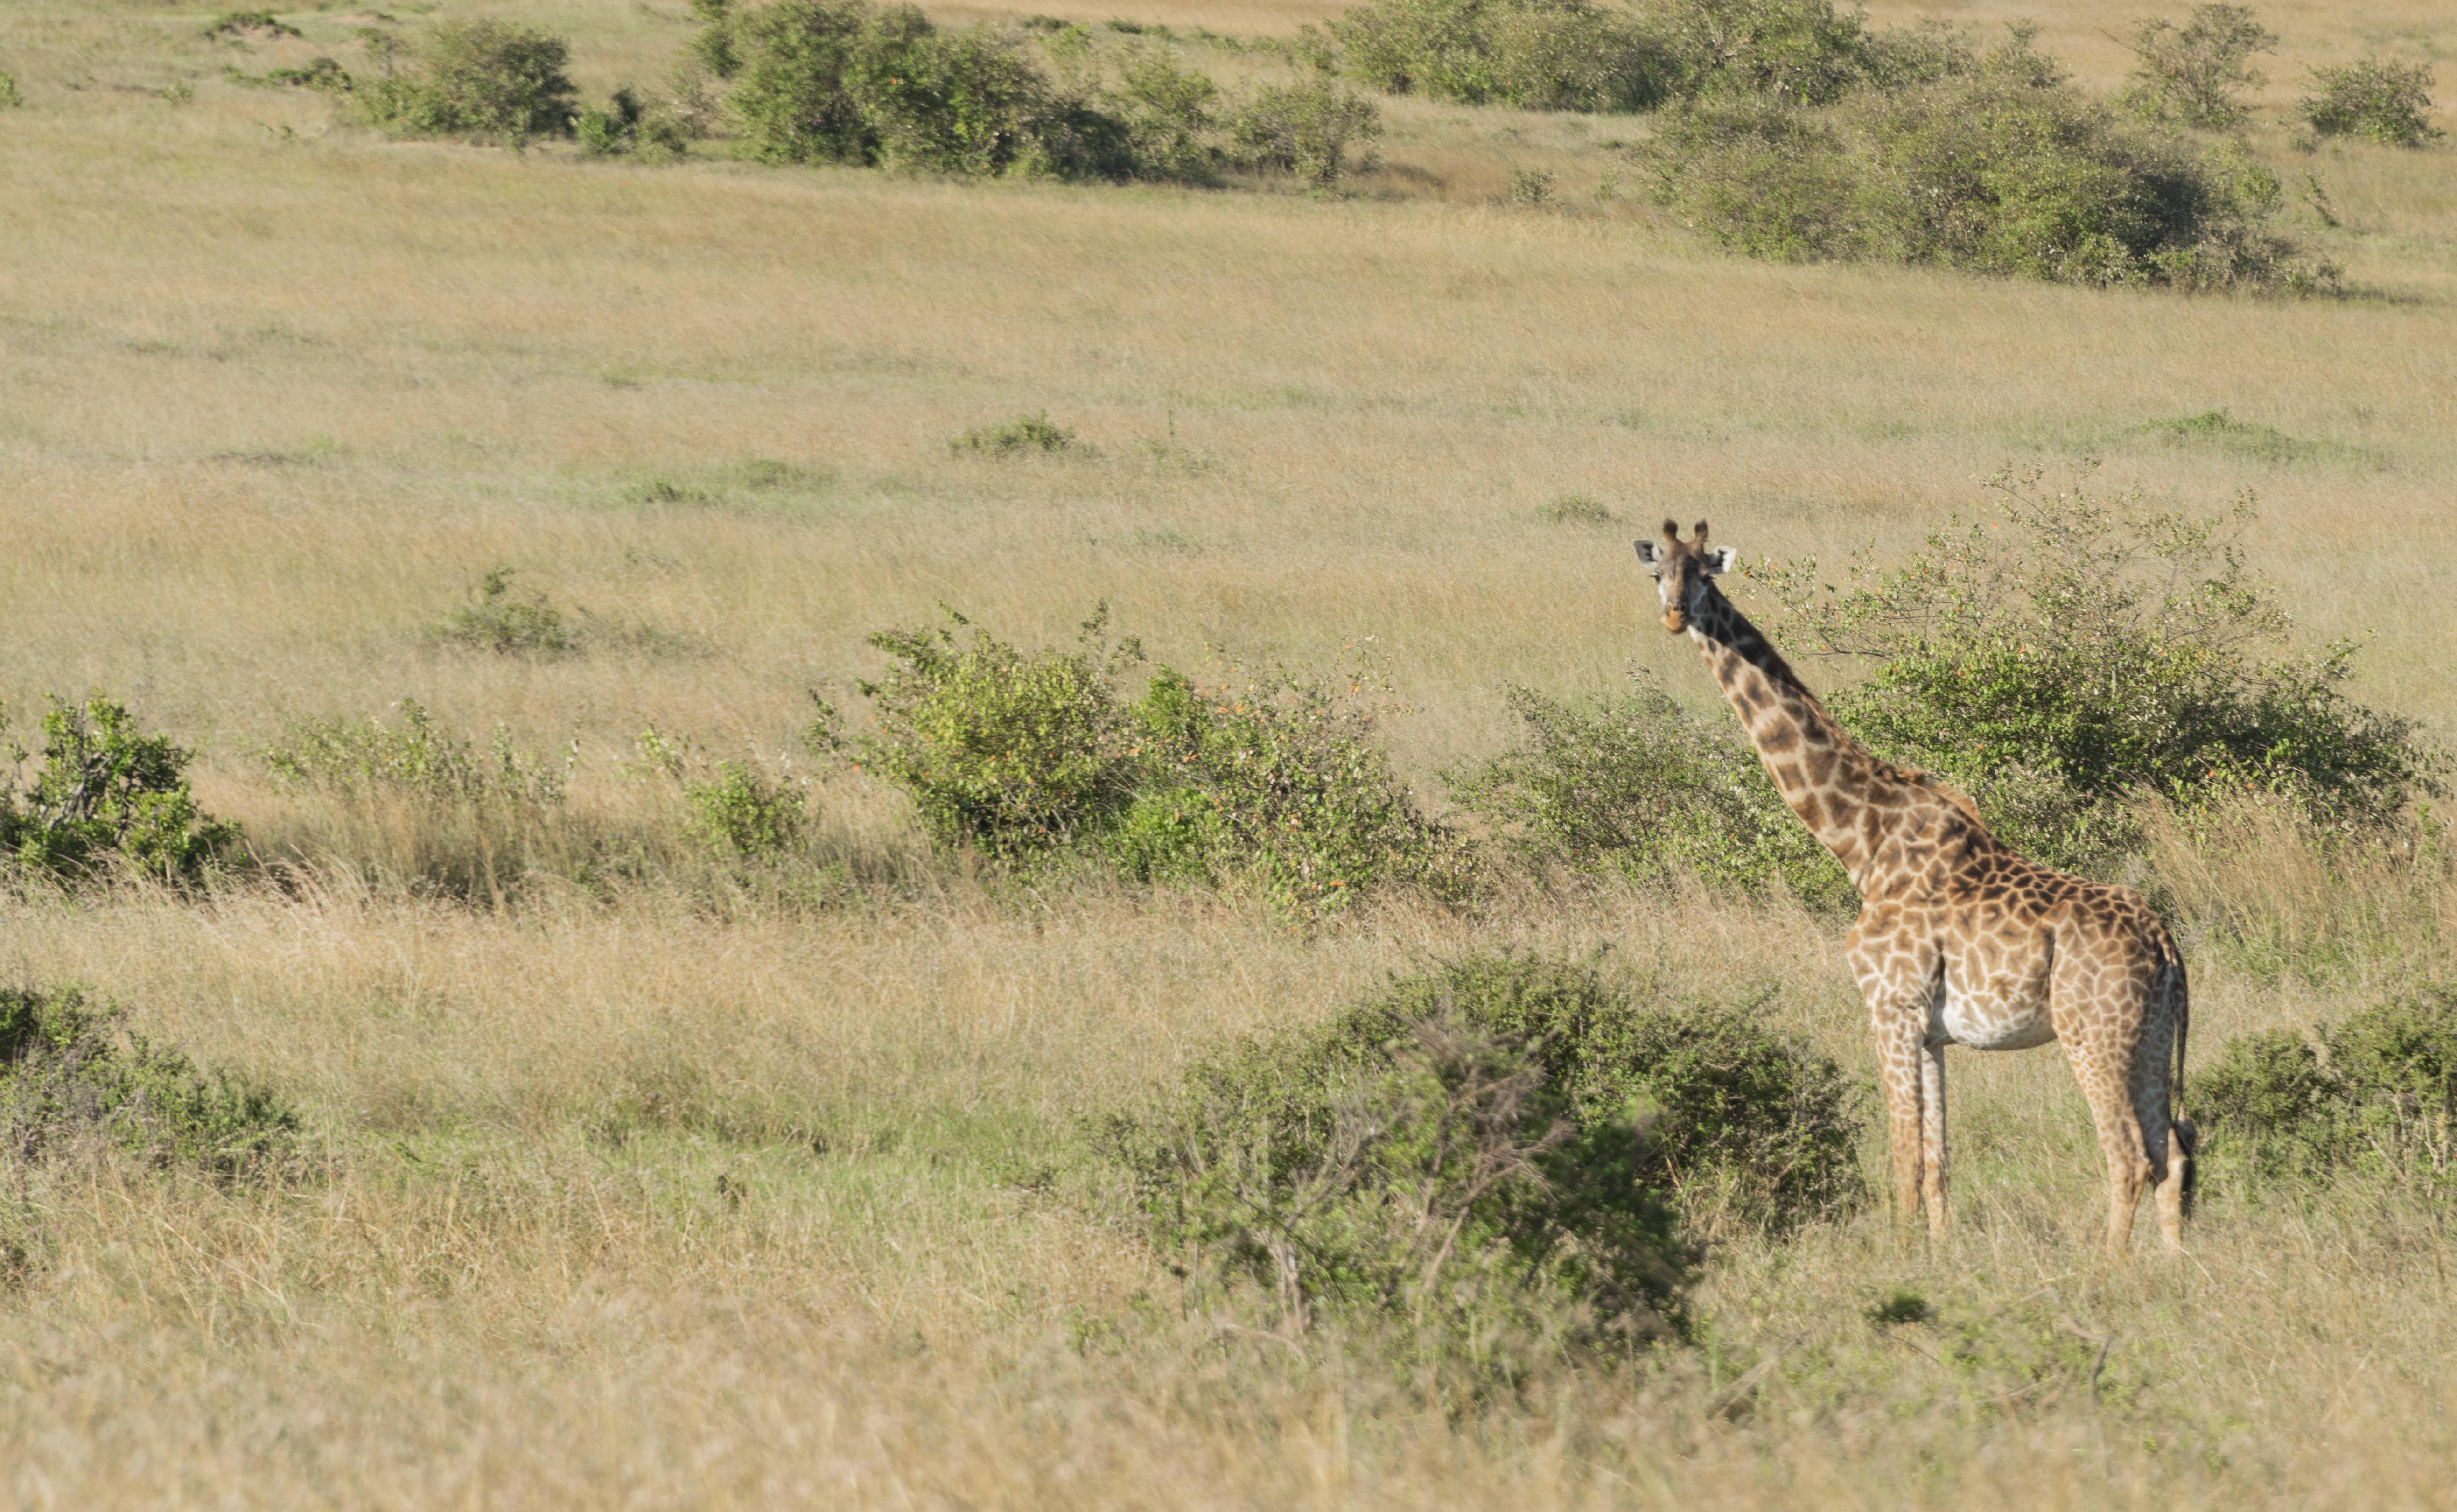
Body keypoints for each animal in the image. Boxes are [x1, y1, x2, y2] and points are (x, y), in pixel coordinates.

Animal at [1631, 521, 2191, 1253]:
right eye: (1657, 573)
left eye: (1704, 574)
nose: (1674, 616)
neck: (1859, 841)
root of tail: (2166, 946)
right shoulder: (1928, 1032)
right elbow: (1936, 1160)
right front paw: (1938, 1253)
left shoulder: (1888, 1007)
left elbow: (1901, 1154)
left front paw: (1895, 1260)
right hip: (2149, 1036)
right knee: (2172, 1151)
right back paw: (2176, 1267)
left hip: (2092, 1031)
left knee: (2127, 1154)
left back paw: (2110, 1269)